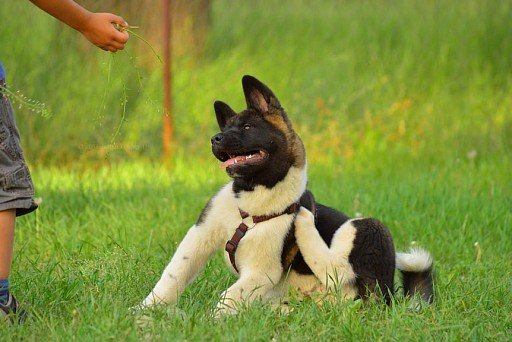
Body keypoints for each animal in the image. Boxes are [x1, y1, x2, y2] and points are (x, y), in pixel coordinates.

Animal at [142, 75, 434, 316]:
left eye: (247, 127)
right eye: (225, 130)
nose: (215, 139)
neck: (255, 198)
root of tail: (390, 299)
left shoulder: (263, 271)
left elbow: (228, 296)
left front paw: (209, 322)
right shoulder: (198, 238)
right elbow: (173, 276)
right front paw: (144, 312)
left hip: (369, 228)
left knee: (340, 273)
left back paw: (304, 221)